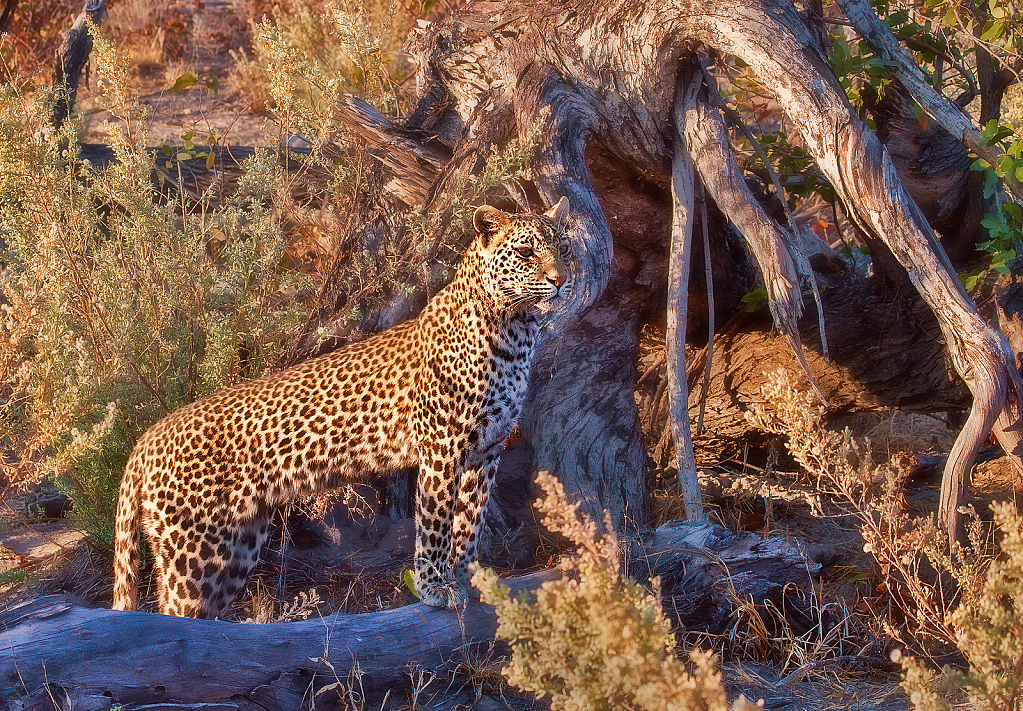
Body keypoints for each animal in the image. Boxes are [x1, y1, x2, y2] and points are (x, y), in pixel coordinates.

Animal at [113, 196, 576, 617]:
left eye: (564, 248)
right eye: (526, 252)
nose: (559, 280)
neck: (517, 331)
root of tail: (146, 439)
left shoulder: (489, 449)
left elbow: (471, 522)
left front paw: (466, 578)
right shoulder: (443, 449)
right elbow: (436, 526)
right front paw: (434, 587)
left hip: (237, 548)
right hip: (192, 553)